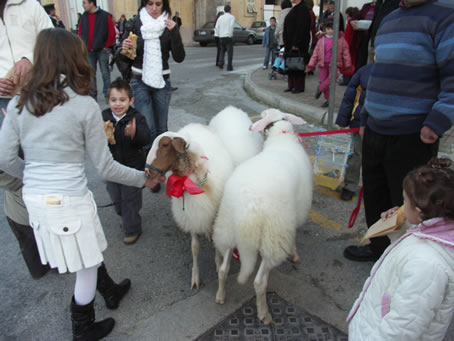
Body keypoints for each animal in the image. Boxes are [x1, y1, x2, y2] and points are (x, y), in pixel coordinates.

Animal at [212, 107, 312, 322]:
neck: (282, 138)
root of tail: (248, 208)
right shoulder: (294, 215)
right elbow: (294, 238)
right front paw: (295, 254)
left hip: (227, 226)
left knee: (223, 269)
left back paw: (221, 295)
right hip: (273, 236)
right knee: (259, 282)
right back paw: (264, 313)